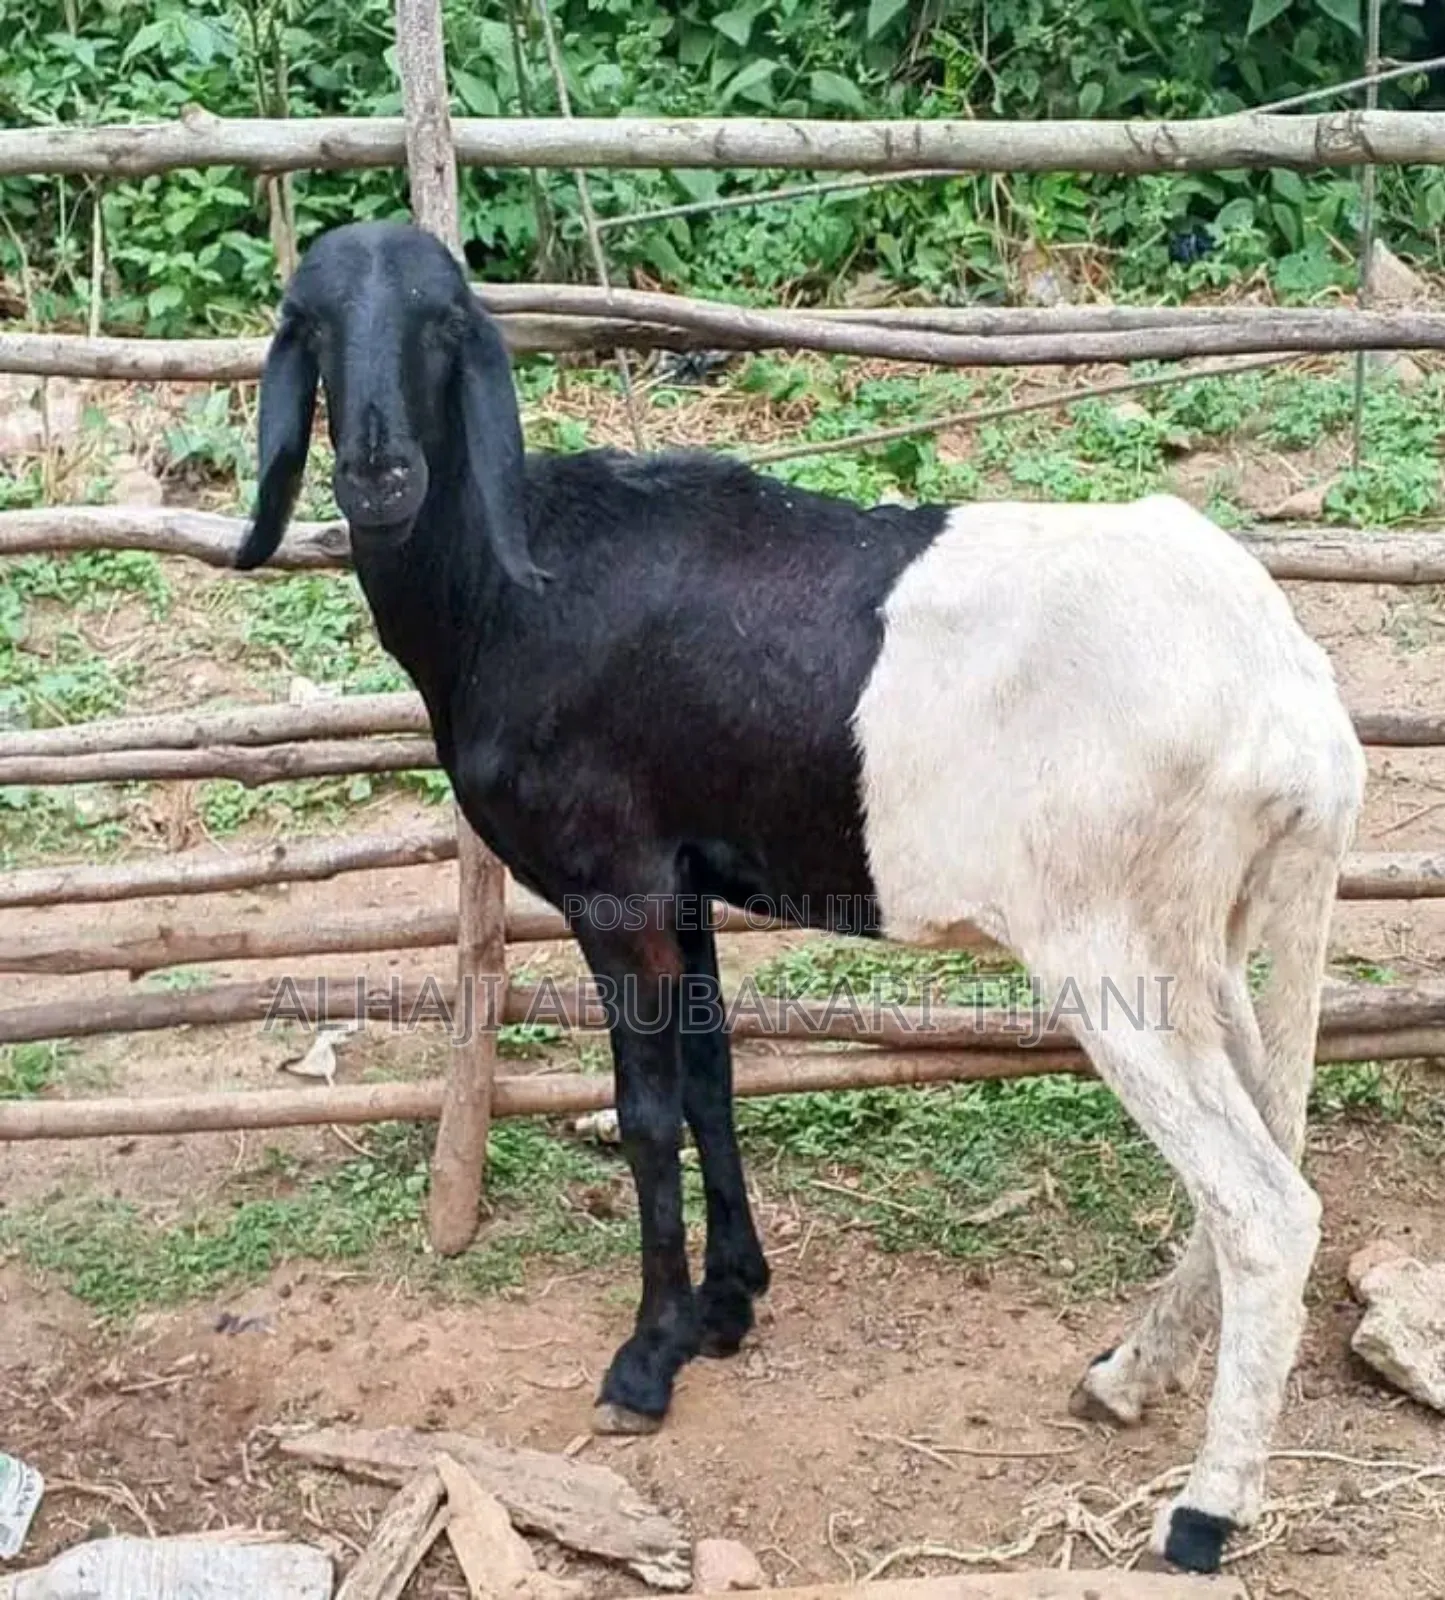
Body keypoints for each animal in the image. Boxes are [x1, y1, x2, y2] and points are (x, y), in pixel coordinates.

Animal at [235, 219, 1367, 1576]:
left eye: (445, 326)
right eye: (308, 323)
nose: (379, 474)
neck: (506, 585)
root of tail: (1295, 709)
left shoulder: (612, 882)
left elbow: (647, 1111)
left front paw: (646, 1360)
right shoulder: (682, 880)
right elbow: (714, 1077)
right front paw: (728, 1304)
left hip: (1115, 948)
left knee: (1261, 1206)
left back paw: (1204, 1510)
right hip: (1212, 936)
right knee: (1270, 1146)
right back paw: (1124, 1377)